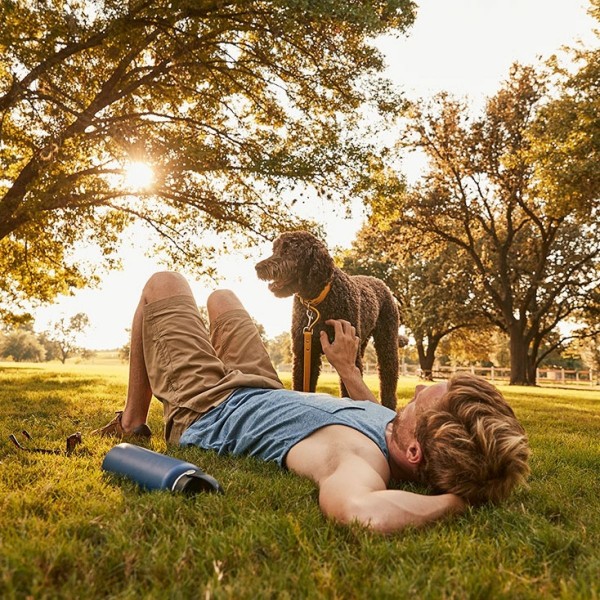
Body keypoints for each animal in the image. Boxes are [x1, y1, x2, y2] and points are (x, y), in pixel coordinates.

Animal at [254, 230, 398, 408]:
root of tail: (379, 281)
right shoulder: (303, 353)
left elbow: (347, 391)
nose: (258, 267)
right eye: (275, 249)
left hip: (387, 344)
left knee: (388, 378)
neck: (318, 302)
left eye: (287, 250)